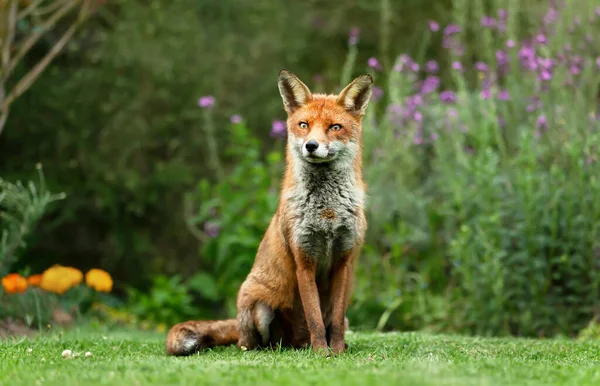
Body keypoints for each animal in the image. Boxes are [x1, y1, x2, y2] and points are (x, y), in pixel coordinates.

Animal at [164, 68, 370, 356]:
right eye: (304, 125)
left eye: (335, 127)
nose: (311, 145)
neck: (327, 212)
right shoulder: (303, 260)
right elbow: (315, 318)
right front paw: (322, 353)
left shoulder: (344, 259)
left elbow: (335, 321)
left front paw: (337, 351)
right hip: (259, 310)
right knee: (249, 343)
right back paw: (278, 349)